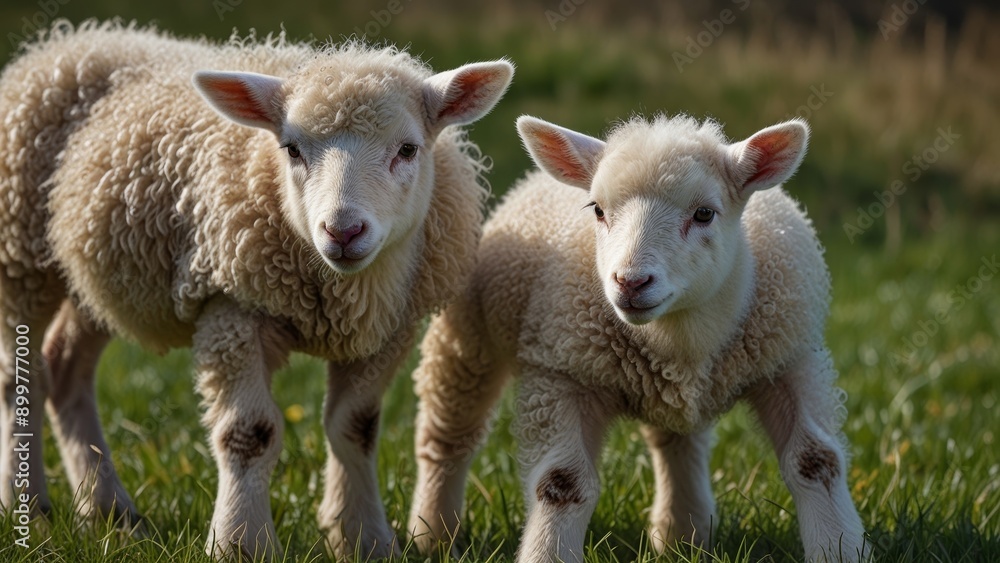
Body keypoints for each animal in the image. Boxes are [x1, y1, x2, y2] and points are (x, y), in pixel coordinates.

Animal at [0, 20, 512, 560]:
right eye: (291, 149)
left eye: (408, 149)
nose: (343, 231)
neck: (341, 293)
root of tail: (69, 39)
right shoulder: (231, 309)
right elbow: (250, 433)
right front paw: (241, 541)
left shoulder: (387, 330)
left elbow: (356, 428)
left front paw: (364, 538)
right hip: (21, 256)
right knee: (22, 377)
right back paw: (31, 507)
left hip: (96, 277)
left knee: (66, 366)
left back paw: (108, 511)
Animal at [408, 114, 868, 562]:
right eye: (597, 209)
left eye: (705, 214)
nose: (630, 282)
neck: (680, 334)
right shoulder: (564, 375)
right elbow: (562, 481)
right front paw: (547, 552)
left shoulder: (791, 362)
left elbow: (817, 461)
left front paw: (838, 549)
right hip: (467, 341)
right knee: (447, 439)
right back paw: (433, 535)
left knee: (679, 444)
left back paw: (683, 538)